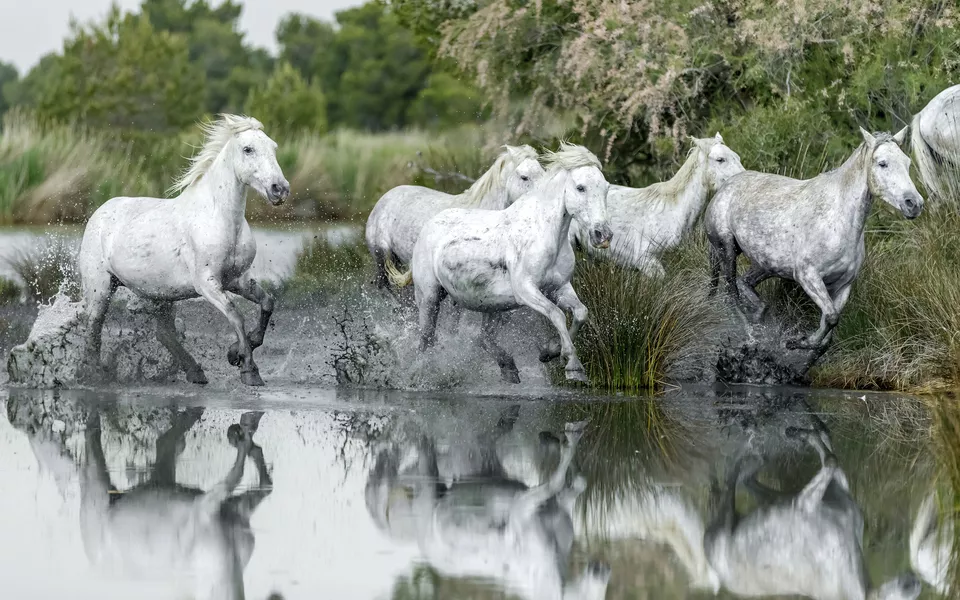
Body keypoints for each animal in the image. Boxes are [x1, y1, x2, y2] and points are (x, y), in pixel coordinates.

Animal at [77, 113, 288, 386]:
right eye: (248, 149)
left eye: (273, 147)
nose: (279, 189)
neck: (220, 220)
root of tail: (100, 212)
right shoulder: (206, 283)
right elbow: (236, 315)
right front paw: (248, 370)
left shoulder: (236, 279)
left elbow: (268, 303)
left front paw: (236, 353)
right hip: (100, 288)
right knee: (93, 327)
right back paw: (94, 374)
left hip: (160, 293)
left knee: (163, 333)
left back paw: (195, 372)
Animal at [394, 143, 612, 382]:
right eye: (581, 188)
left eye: (606, 188)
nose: (603, 235)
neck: (544, 234)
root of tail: (428, 225)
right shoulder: (526, 290)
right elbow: (557, 314)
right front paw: (573, 366)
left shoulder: (559, 287)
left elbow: (581, 313)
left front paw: (551, 352)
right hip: (429, 298)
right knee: (426, 340)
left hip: (492, 304)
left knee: (483, 338)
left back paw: (508, 367)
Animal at [704, 125, 924, 354]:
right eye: (882, 163)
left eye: (907, 162)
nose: (914, 204)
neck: (837, 220)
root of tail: (723, 189)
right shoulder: (807, 276)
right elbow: (831, 317)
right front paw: (799, 343)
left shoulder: (843, 284)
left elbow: (829, 323)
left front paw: (808, 346)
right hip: (726, 249)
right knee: (731, 292)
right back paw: (750, 334)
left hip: (766, 264)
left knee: (745, 282)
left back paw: (759, 317)